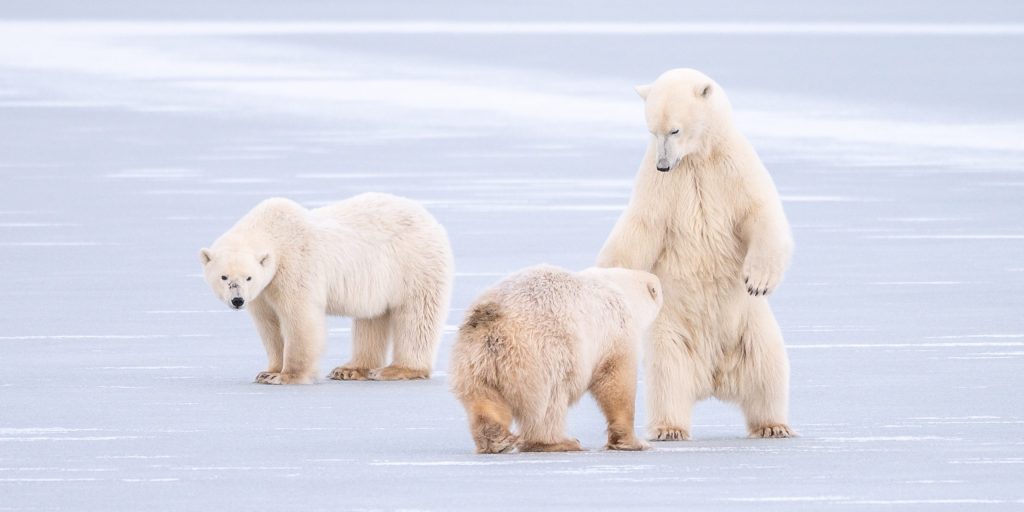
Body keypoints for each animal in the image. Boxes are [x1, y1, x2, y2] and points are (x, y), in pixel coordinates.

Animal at [198, 192, 452, 385]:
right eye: (224, 277)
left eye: (248, 277)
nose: (237, 300)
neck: (274, 232)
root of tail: (431, 220)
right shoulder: (264, 290)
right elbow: (268, 324)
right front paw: (268, 371)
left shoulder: (294, 266)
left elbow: (299, 319)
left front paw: (285, 376)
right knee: (372, 318)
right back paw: (350, 369)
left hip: (415, 265)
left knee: (417, 317)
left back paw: (397, 369)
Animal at [450, 264, 663, 452]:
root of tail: (491, 316)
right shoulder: (616, 330)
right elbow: (616, 380)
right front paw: (635, 442)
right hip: (541, 355)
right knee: (549, 404)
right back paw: (561, 442)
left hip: (475, 358)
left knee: (483, 398)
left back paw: (497, 440)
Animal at [598, 68, 794, 440]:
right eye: (652, 130)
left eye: (674, 129)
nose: (663, 164)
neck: (696, 158)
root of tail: (714, 378)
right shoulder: (662, 188)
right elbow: (639, 230)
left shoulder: (732, 169)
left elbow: (760, 213)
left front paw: (758, 280)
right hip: (669, 333)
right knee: (667, 379)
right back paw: (669, 428)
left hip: (753, 329)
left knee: (768, 370)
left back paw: (773, 425)